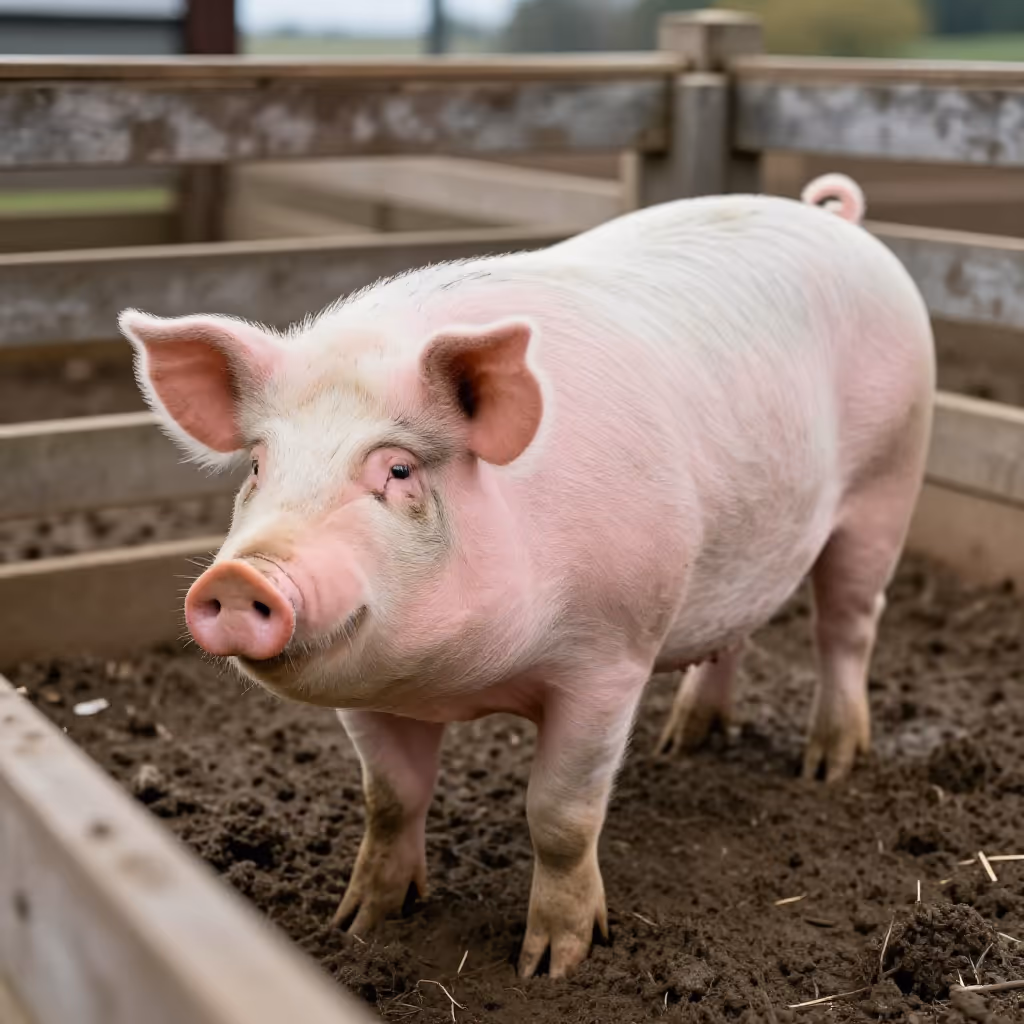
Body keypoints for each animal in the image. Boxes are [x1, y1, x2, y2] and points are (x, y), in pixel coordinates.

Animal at [120, 172, 934, 979]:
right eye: (259, 466)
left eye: (398, 471)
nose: (242, 577)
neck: (458, 686)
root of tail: (835, 220)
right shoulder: (367, 692)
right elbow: (390, 799)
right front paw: (358, 925)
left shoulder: (610, 659)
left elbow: (561, 817)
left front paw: (551, 964)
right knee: (735, 635)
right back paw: (682, 742)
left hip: (888, 479)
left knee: (848, 625)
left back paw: (827, 766)